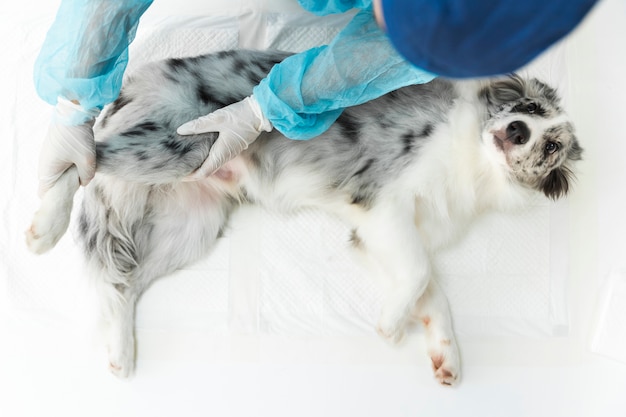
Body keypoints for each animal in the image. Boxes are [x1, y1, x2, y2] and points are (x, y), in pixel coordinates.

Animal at [24, 48, 580, 384]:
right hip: (182, 146)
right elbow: (422, 273)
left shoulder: (380, 232)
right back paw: (44, 225)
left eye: (552, 144)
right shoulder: (384, 203)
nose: (516, 131)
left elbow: (430, 289)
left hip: (194, 224)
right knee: (84, 159)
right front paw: (390, 327)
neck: (478, 160)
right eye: (529, 110)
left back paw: (120, 350)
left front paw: (445, 354)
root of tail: (139, 79)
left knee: (121, 282)